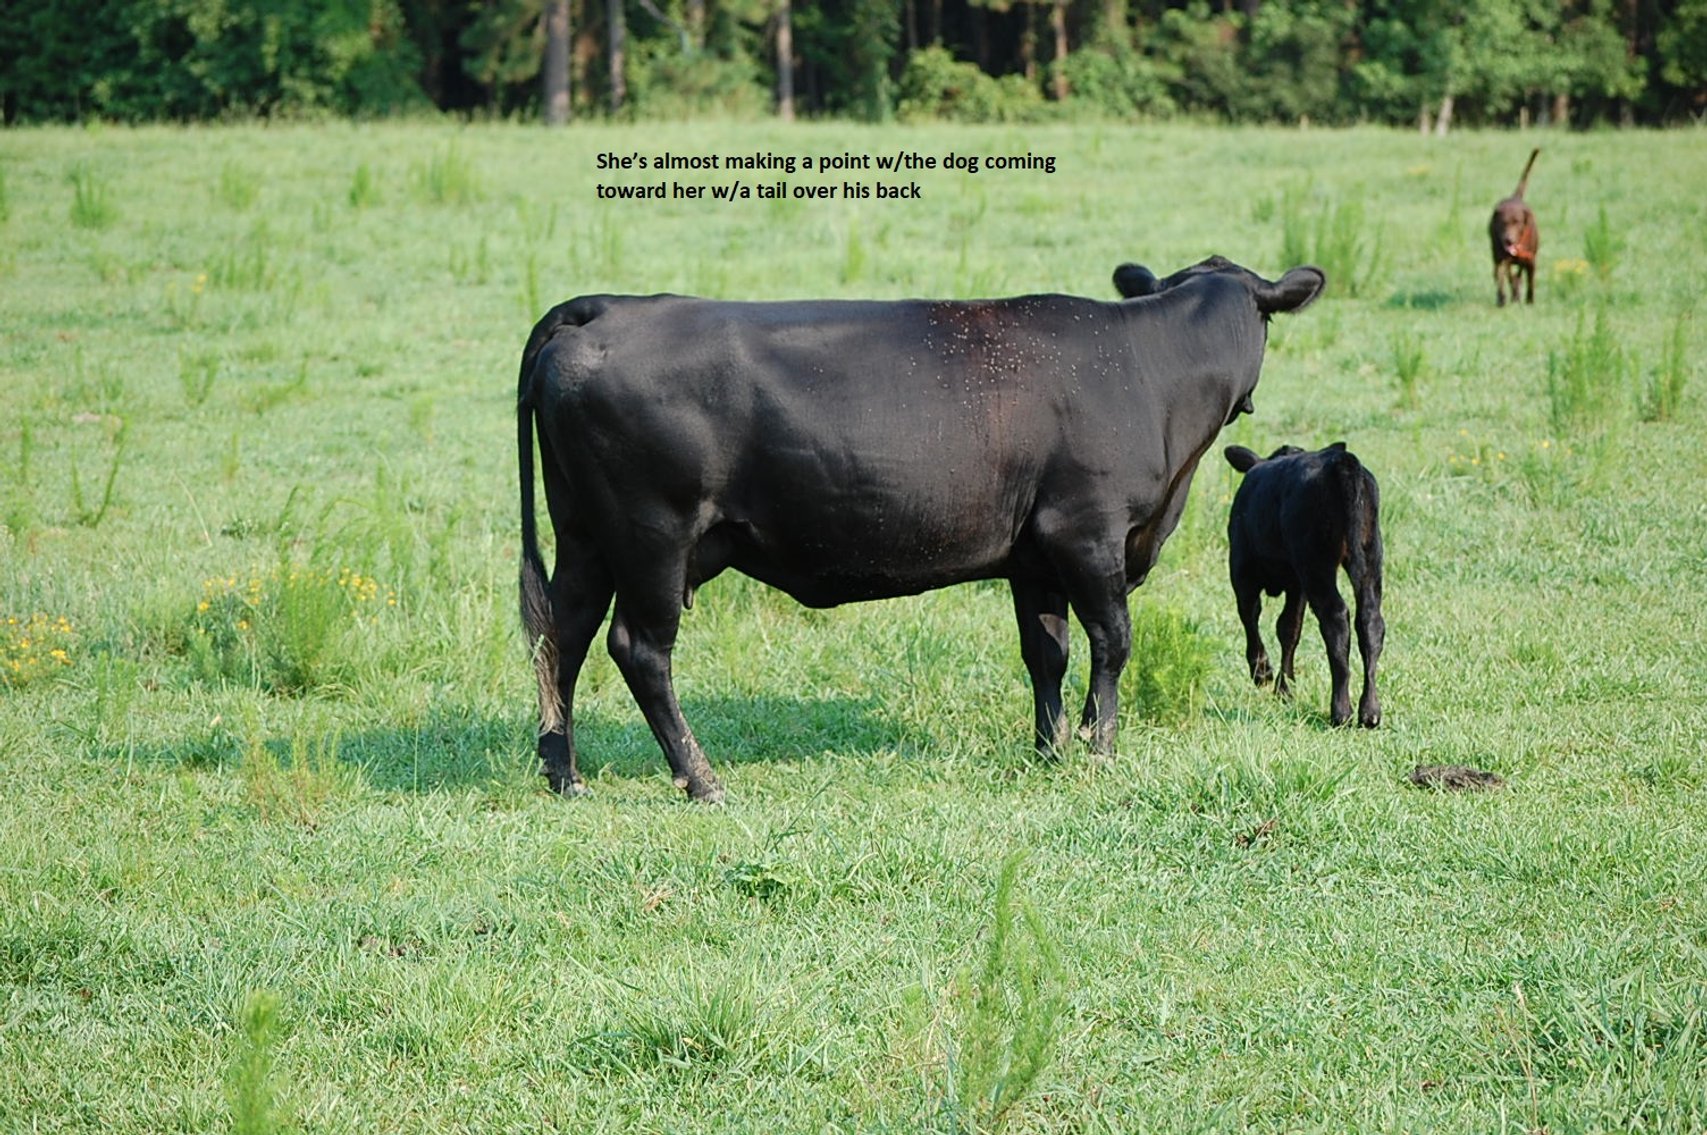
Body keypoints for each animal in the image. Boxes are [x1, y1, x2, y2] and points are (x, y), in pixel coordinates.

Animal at [517, 256, 1326, 801]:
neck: (1147, 371)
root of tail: (608, 307)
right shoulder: (1087, 533)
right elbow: (1112, 642)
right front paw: (1100, 747)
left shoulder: (1034, 557)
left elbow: (1047, 653)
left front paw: (1050, 749)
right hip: (653, 537)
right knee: (638, 649)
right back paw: (701, 778)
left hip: (585, 535)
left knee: (562, 633)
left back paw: (563, 773)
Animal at [1222, 442, 1384, 729]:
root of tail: (1341, 460)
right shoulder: (1297, 585)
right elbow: (1289, 629)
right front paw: (1285, 687)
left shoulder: (1242, 569)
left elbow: (1251, 617)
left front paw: (1262, 673)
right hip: (1369, 553)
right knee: (1370, 620)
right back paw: (1370, 711)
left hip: (1314, 562)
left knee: (1336, 618)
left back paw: (1341, 711)